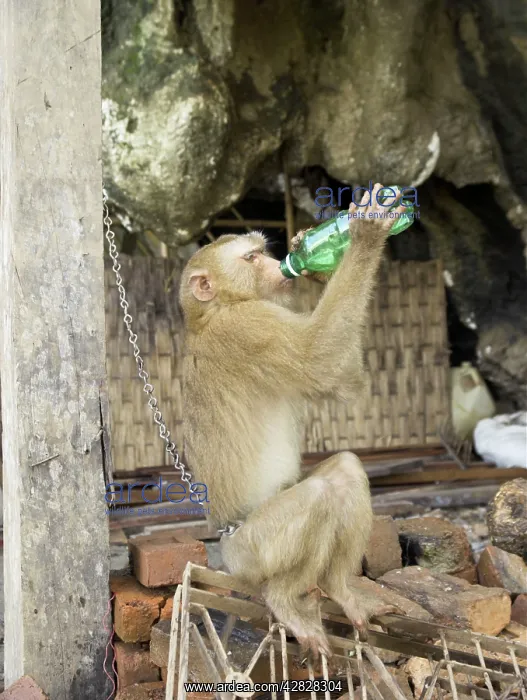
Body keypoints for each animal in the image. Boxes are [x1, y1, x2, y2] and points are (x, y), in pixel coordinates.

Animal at [179, 184, 406, 659]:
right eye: (251, 258)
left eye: (262, 253)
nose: (278, 263)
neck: (217, 310)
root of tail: (223, 545)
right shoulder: (248, 329)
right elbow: (316, 359)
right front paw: (361, 236)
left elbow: (343, 384)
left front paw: (319, 263)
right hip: (252, 554)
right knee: (319, 497)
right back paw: (284, 599)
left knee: (344, 472)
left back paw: (340, 590)